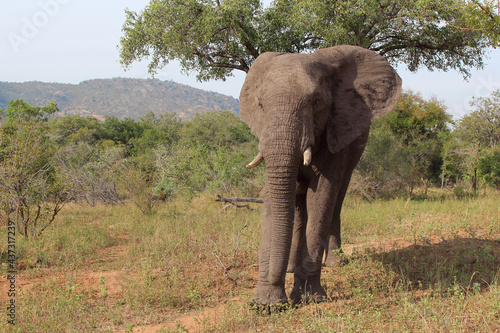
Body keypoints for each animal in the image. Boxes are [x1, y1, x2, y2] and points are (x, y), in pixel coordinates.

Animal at [239, 45, 402, 308]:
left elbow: (322, 197)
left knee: (337, 199)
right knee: (298, 205)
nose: (274, 277)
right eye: (261, 105)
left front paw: (308, 297)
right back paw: (290, 268)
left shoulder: (336, 130)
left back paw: (335, 262)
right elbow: (274, 201)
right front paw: (266, 304)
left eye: (317, 102)